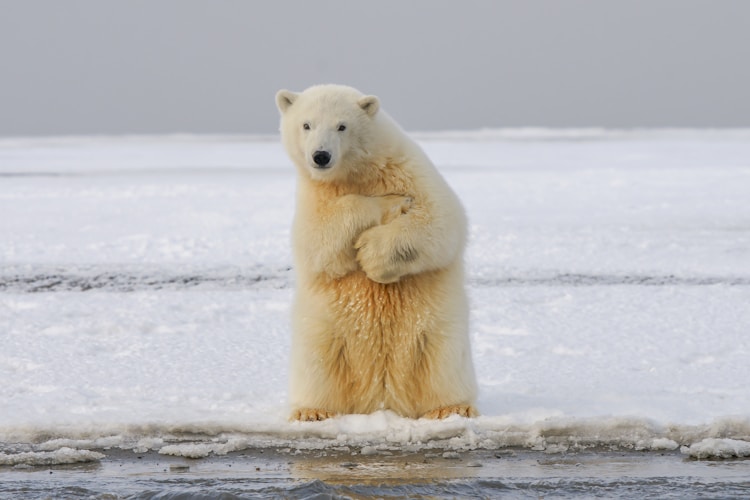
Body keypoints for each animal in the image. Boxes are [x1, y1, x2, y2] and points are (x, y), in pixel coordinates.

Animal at [274, 84, 476, 420]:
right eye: (306, 124)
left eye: (342, 126)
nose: (321, 156)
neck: (358, 172)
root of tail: (382, 399)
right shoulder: (314, 196)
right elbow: (317, 240)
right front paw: (388, 203)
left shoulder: (410, 170)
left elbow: (440, 220)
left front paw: (372, 255)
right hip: (324, 333)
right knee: (318, 364)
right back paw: (312, 411)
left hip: (437, 331)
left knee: (442, 363)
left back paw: (451, 408)